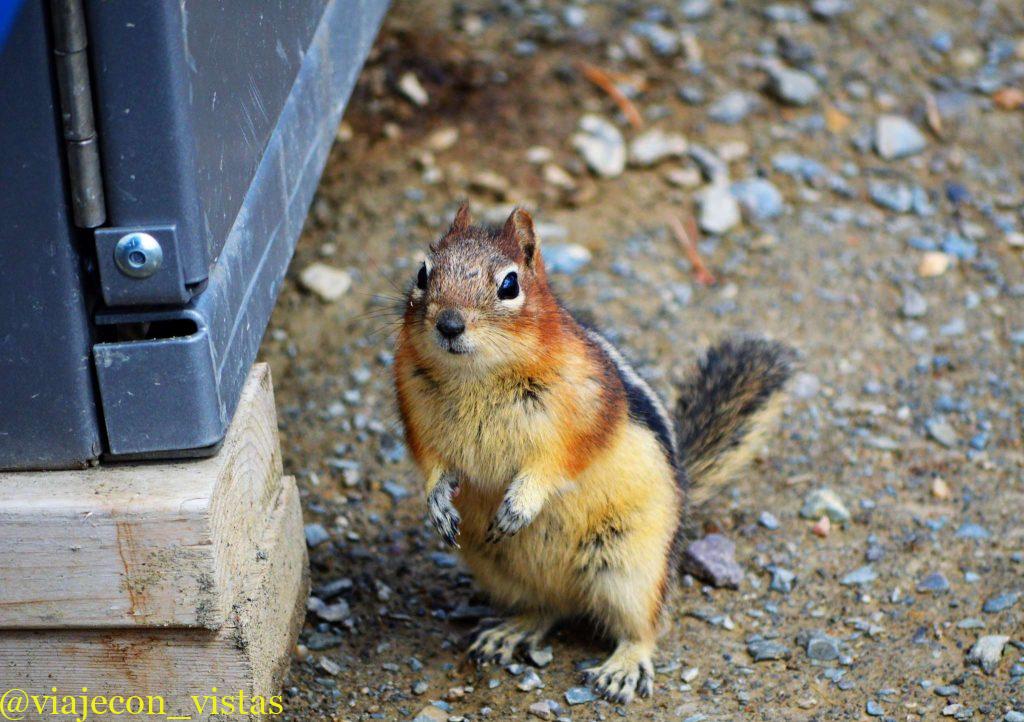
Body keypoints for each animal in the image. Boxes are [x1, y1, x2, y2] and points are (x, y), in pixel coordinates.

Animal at [394, 202, 794, 704]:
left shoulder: (584, 410)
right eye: (422, 272)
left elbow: (557, 462)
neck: (475, 376)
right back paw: (511, 630)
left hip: (629, 566)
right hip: (499, 569)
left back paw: (623, 665)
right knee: (546, 609)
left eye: (509, 285)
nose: (448, 324)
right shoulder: (414, 410)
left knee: (645, 627)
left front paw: (519, 505)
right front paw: (437, 504)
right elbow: (431, 463)